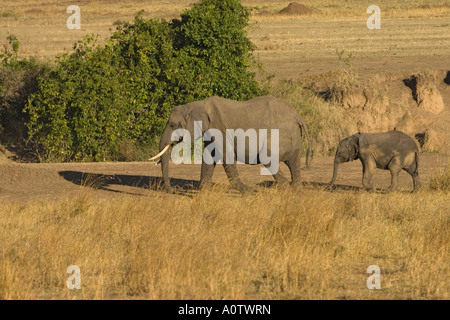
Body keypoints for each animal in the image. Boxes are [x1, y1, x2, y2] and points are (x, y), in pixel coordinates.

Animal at [149, 95, 312, 192]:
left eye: (172, 125)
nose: (173, 190)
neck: (198, 104)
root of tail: (297, 115)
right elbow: (209, 155)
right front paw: (203, 190)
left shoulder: (218, 128)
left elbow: (225, 155)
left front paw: (248, 191)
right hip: (294, 135)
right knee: (293, 162)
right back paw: (295, 189)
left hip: (280, 133)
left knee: (267, 158)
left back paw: (284, 188)